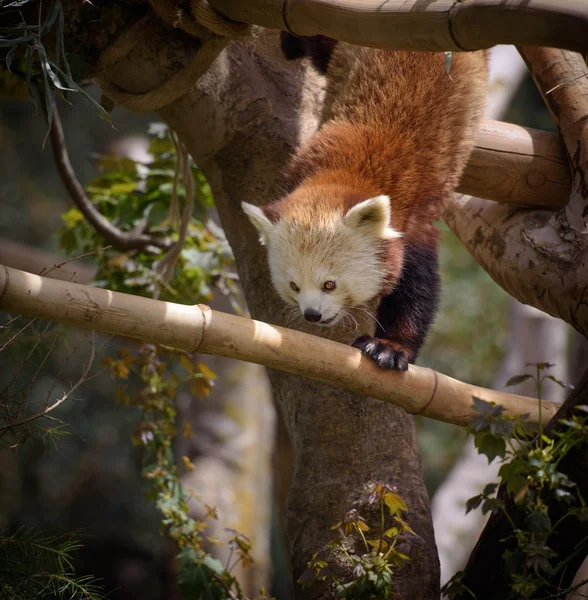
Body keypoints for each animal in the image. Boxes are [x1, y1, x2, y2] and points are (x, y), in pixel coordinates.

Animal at [241, 35, 490, 370]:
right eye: (294, 285)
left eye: (329, 284)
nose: (312, 314)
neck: (345, 174)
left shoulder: (412, 218)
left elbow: (416, 288)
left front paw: (390, 347)